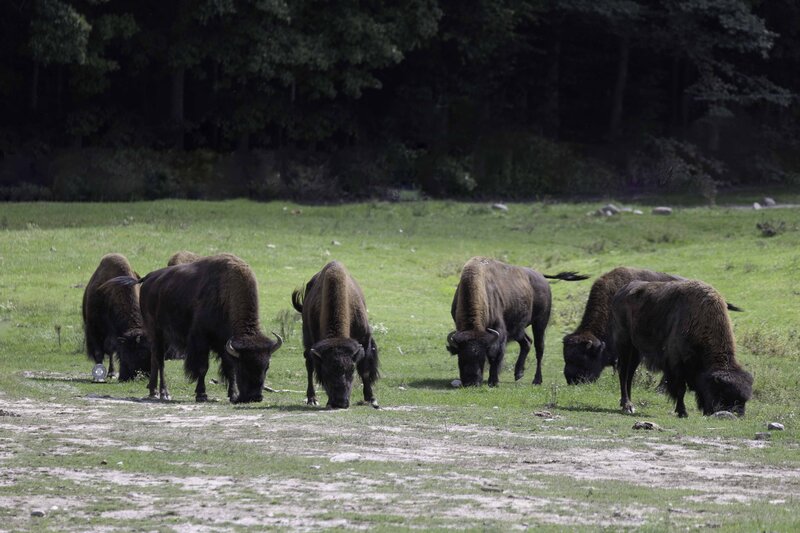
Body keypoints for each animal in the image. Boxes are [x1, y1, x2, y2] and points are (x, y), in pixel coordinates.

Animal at [118, 253, 282, 402]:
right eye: (243, 366)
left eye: (266, 366)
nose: (255, 397)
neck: (225, 295)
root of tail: (148, 278)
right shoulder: (201, 340)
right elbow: (203, 367)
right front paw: (201, 395)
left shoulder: (225, 343)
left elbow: (229, 368)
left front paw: (233, 394)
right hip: (156, 331)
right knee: (160, 361)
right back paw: (164, 393)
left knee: (154, 359)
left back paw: (153, 392)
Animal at [292, 261, 379, 409]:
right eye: (326, 372)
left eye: (351, 370)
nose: (340, 402)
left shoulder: (364, 341)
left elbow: (365, 370)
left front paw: (371, 398)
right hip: (307, 342)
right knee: (309, 366)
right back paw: (312, 399)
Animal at [447, 257, 588, 387]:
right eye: (461, 357)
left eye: (481, 358)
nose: (472, 382)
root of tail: (541, 276)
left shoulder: (499, 331)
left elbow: (495, 355)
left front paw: (493, 381)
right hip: (518, 329)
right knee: (527, 342)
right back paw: (518, 373)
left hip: (540, 323)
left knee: (539, 349)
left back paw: (537, 380)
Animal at [610, 279, 753, 417]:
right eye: (722, 396)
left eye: (744, 400)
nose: (737, 414)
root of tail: (620, 292)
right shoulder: (677, 365)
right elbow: (680, 389)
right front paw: (682, 412)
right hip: (625, 344)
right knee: (623, 373)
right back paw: (627, 406)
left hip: (636, 352)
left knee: (630, 375)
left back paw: (630, 405)